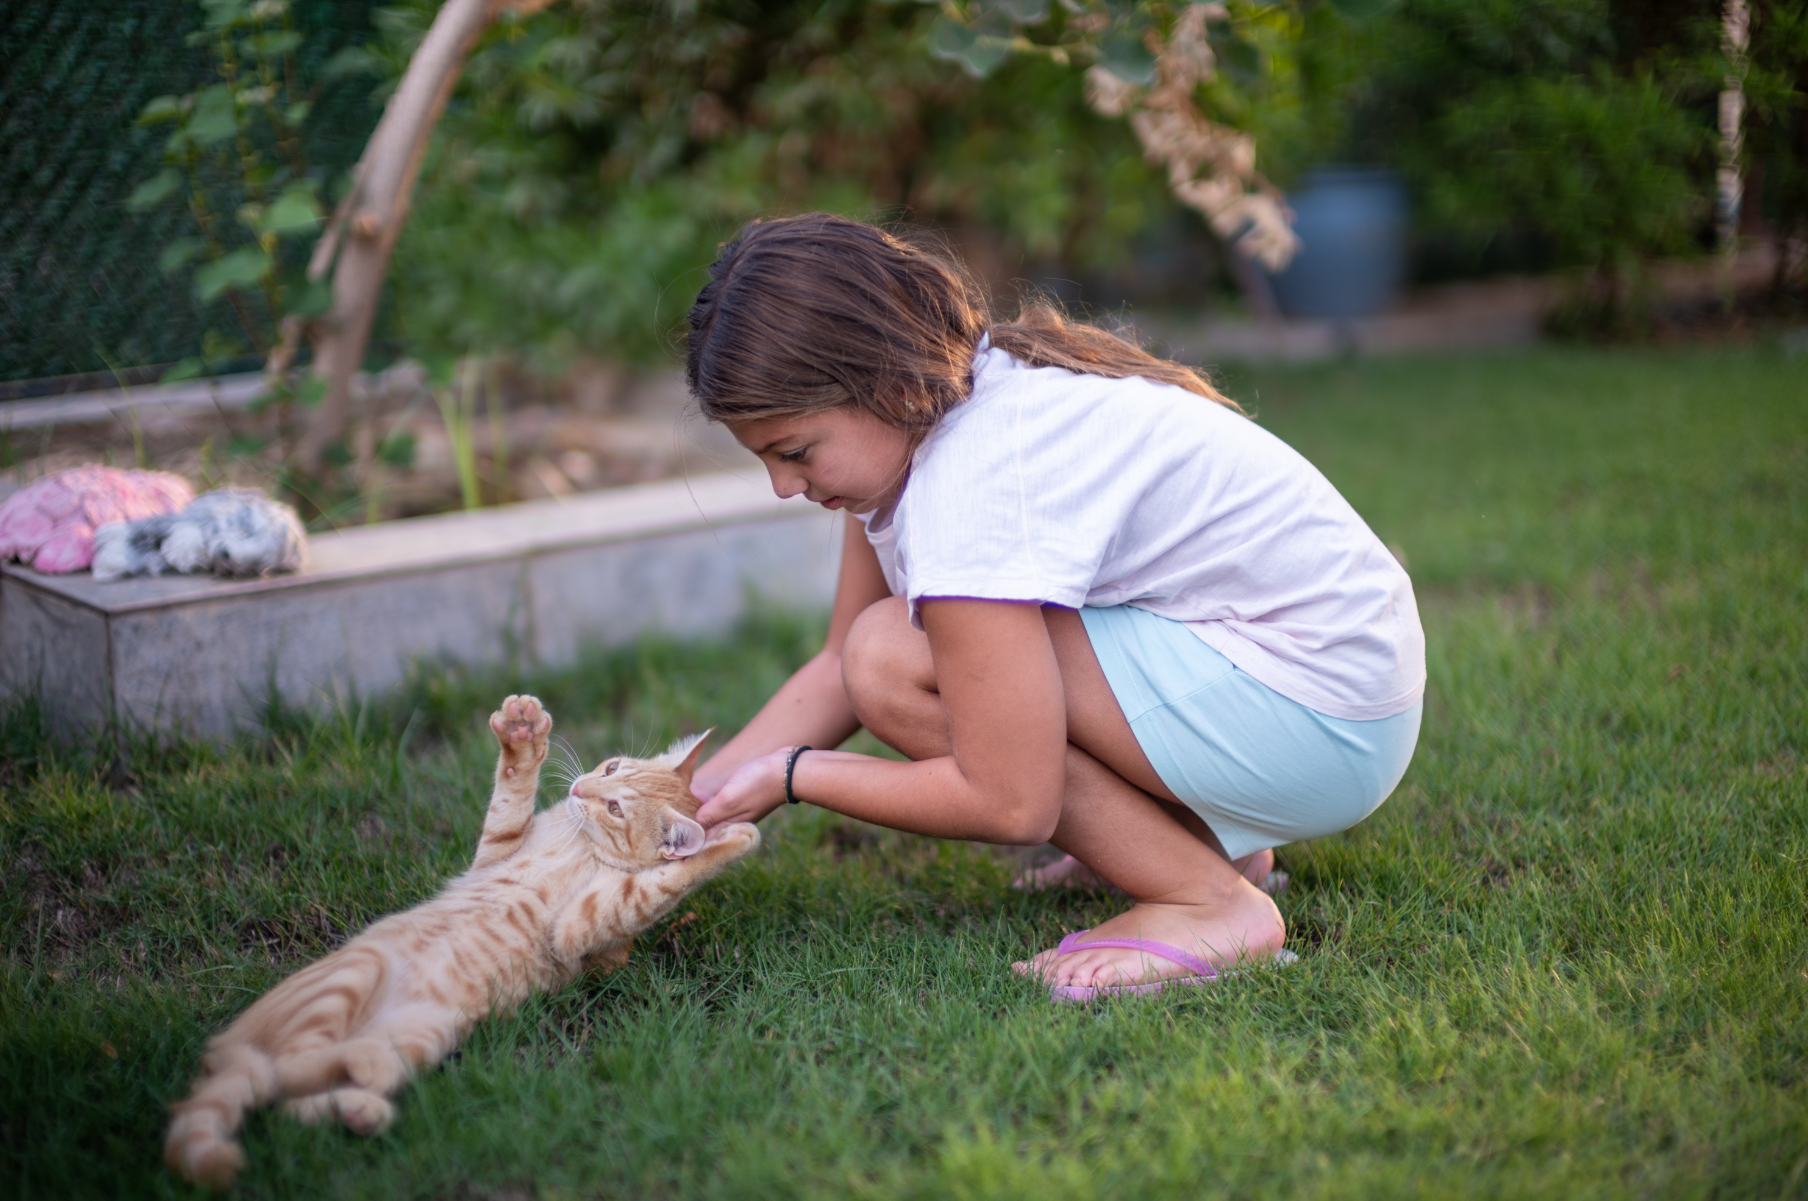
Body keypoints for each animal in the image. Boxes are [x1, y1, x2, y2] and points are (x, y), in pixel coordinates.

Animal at [162, 694, 755, 1193]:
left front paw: (730, 839)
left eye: (615, 809)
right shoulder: (496, 852)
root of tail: (228, 1051)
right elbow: (510, 797)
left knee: (289, 1081)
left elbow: (651, 888)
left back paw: (364, 1092)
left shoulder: (584, 935)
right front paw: (522, 735)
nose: (579, 789)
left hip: (418, 1028)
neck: (580, 843)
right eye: (610, 769)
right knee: (277, 1078)